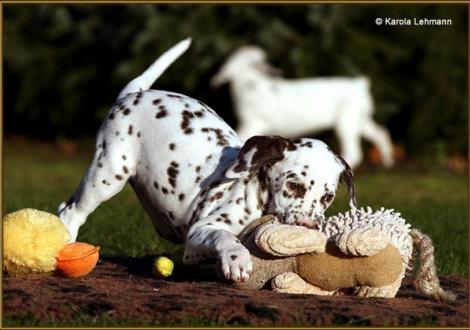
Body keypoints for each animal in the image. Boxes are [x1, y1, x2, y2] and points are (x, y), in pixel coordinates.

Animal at [57, 38, 356, 282]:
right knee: (70, 210)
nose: (308, 228)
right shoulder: (200, 231)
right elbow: (225, 236)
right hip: (108, 173)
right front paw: (236, 260)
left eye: (328, 197)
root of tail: (134, 94)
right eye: (293, 186)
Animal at [211, 45, 394, 169]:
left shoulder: (252, 123)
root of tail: (360, 84)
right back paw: (388, 161)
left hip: (347, 121)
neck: (250, 83)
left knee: (355, 151)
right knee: (380, 134)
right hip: (361, 120)